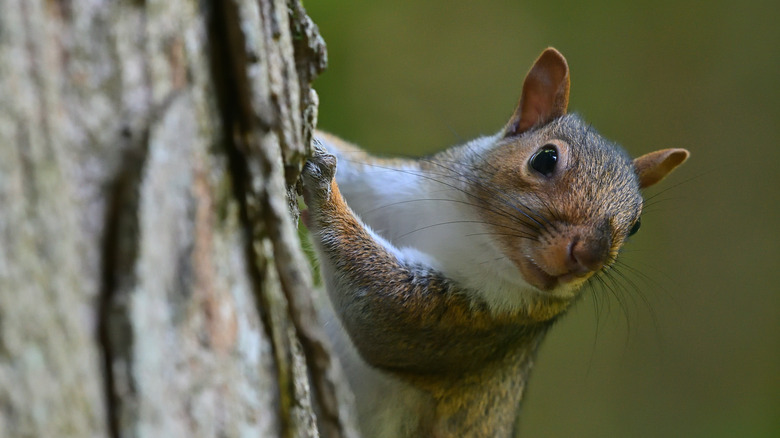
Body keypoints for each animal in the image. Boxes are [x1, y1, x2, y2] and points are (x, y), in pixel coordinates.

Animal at [301, 48, 689, 438]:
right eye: (545, 158)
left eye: (635, 225)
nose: (589, 256)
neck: (474, 232)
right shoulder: (390, 186)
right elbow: (352, 163)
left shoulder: (481, 322)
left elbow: (384, 310)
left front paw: (324, 195)